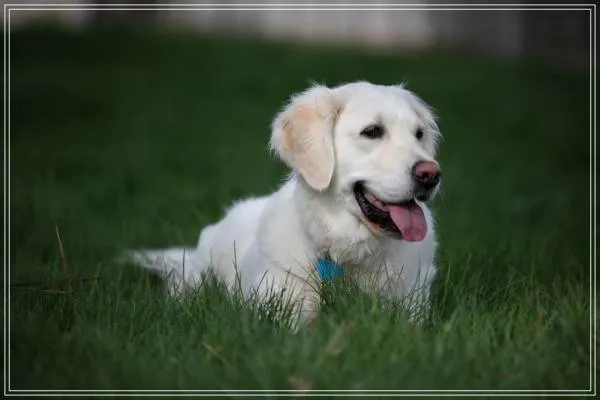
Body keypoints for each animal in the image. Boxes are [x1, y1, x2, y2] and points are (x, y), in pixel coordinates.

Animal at [127, 81, 442, 329]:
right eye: (373, 131)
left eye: (419, 134)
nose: (431, 174)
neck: (346, 254)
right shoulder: (279, 304)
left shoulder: (413, 305)